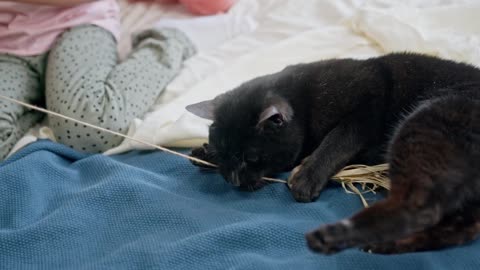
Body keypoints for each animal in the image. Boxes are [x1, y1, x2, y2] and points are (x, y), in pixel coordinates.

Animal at [186, 52, 478, 253]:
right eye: (224, 155)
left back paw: (335, 238)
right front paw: (204, 153)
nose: (233, 180)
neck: (304, 98)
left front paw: (307, 176)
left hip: (421, 123)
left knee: (421, 210)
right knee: (459, 229)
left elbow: (337, 141)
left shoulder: (365, 110)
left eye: (252, 158)